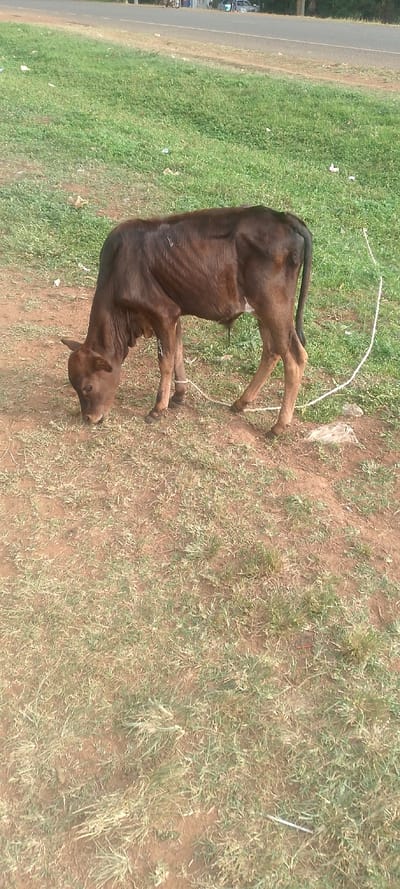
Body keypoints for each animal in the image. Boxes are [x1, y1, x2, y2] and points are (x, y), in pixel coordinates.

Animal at [62, 205, 312, 435]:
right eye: (74, 386)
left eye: (88, 387)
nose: (89, 418)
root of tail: (283, 216)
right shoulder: (175, 314)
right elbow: (178, 353)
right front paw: (179, 396)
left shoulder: (163, 312)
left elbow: (165, 360)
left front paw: (157, 409)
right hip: (263, 311)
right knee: (272, 351)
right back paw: (241, 403)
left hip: (274, 307)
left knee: (294, 358)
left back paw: (278, 426)